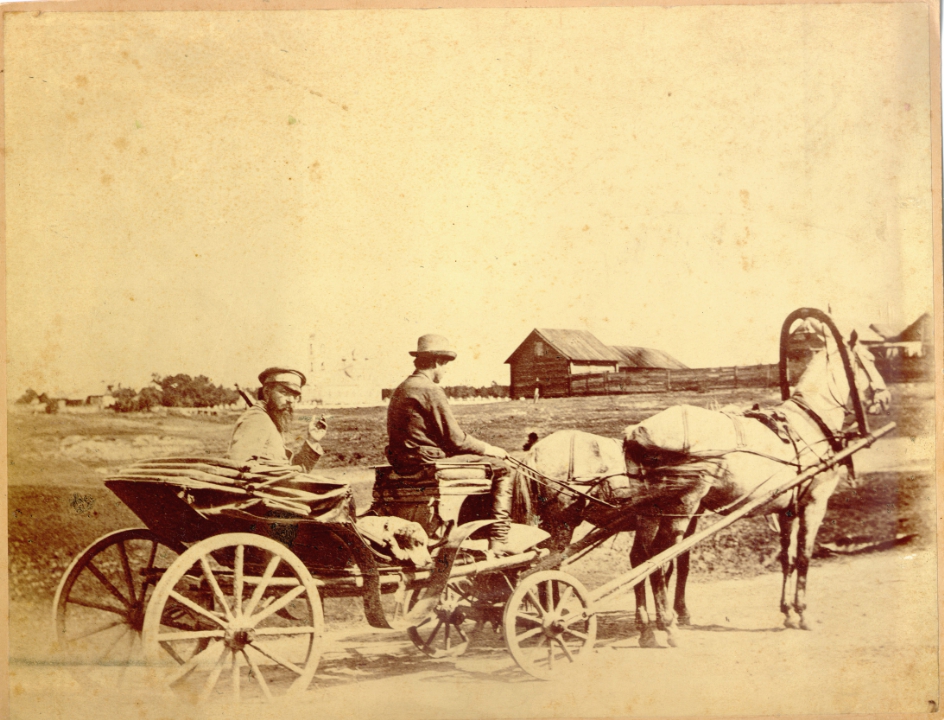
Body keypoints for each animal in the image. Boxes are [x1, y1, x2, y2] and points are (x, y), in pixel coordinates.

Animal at [516, 326, 890, 649]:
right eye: (871, 359)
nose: (885, 400)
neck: (808, 424)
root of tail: (635, 432)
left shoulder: (785, 508)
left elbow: (785, 557)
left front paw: (786, 611)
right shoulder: (814, 503)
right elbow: (804, 556)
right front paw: (803, 614)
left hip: (651, 510)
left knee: (637, 559)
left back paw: (642, 629)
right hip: (632, 513)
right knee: (606, 562)